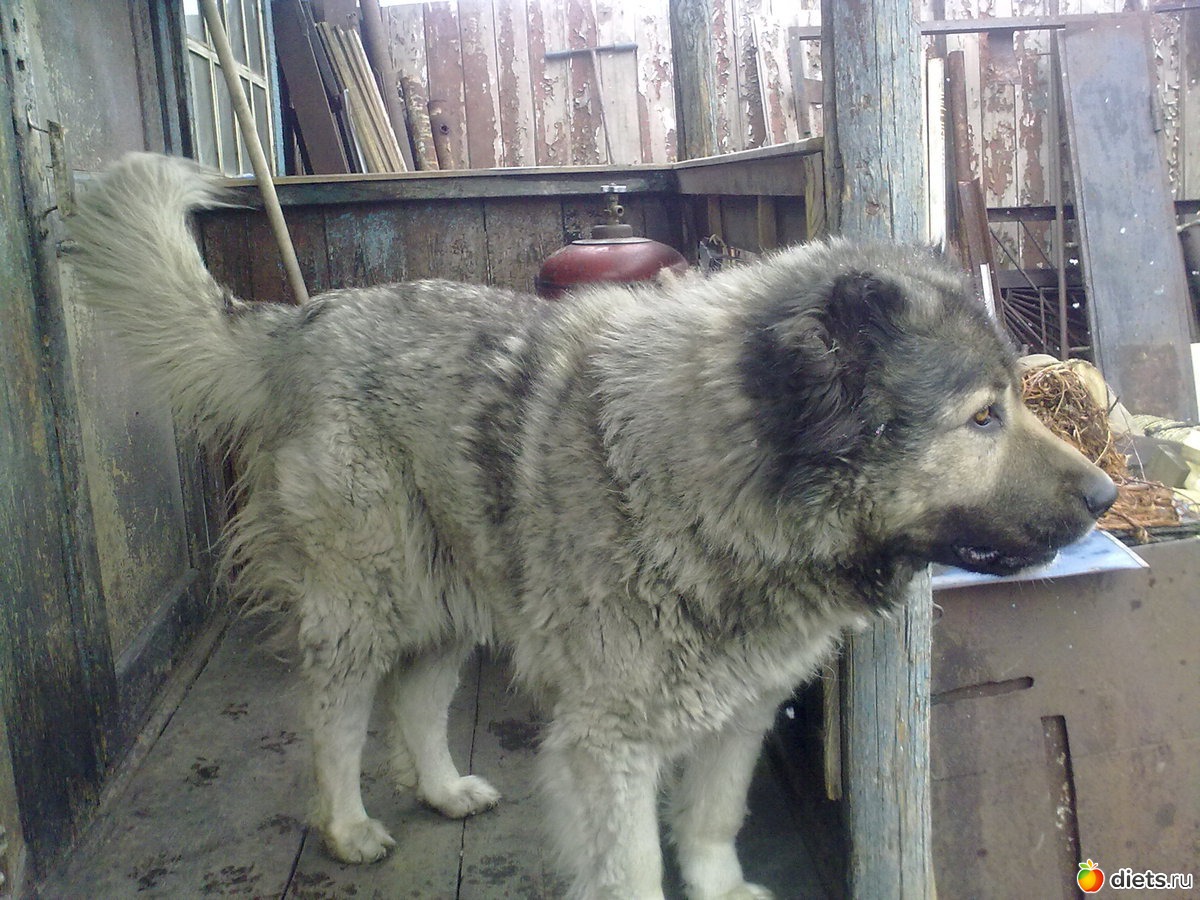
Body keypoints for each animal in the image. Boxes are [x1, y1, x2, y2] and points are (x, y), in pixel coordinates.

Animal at [68, 153, 1116, 900]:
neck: (717, 486)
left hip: (450, 596)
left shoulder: (739, 711)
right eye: (982, 418)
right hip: (365, 600)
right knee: (335, 718)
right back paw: (349, 825)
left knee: (417, 703)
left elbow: (711, 827)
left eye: (1013, 401)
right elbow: (634, 870)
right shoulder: (609, 745)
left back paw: (443, 789)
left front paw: (722, 885)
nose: (1107, 496)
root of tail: (303, 320)